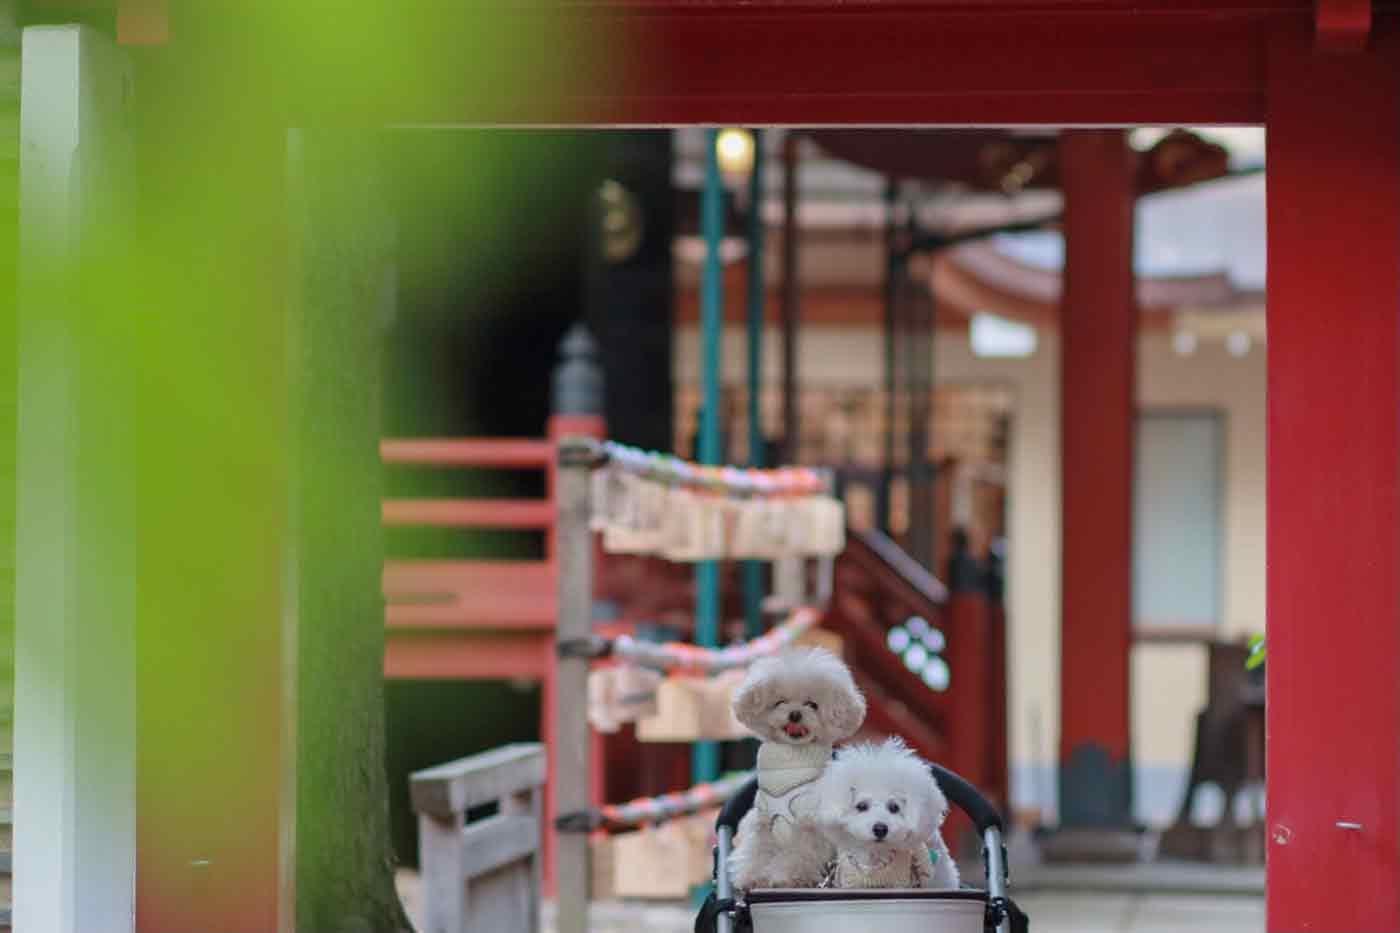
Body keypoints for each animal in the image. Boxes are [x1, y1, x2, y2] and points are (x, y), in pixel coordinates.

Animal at [722, 647, 862, 885]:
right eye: (780, 703)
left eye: (812, 705)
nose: (795, 714)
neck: (789, 764)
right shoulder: (764, 823)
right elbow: (757, 852)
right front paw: (753, 876)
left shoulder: (809, 825)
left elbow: (799, 855)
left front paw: (788, 877)